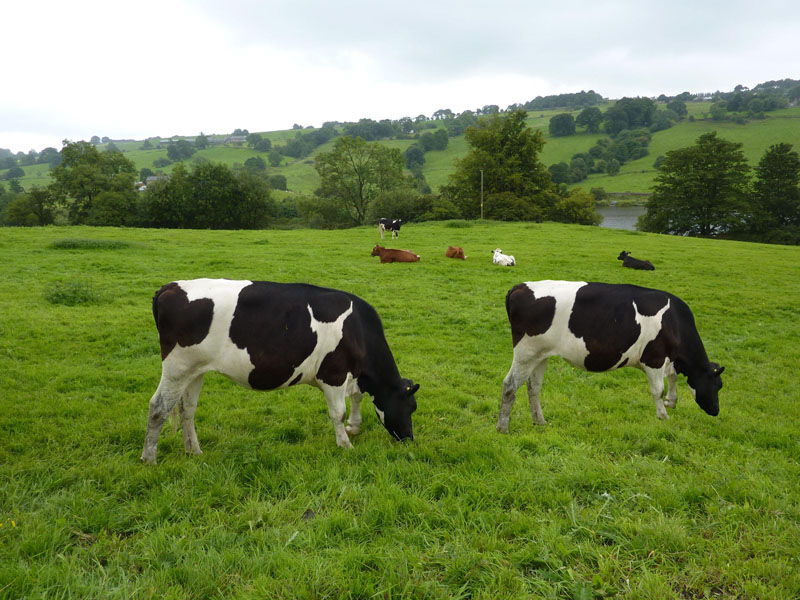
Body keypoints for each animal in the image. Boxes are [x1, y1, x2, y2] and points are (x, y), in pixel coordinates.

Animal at [141, 278, 422, 464]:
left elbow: (356, 396)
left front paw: (354, 427)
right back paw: (149, 458)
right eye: (411, 407)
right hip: (177, 366)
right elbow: (338, 412)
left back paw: (194, 451)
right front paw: (345, 444)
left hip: (195, 370)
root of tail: (170, 287)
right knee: (158, 407)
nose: (409, 438)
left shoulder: (350, 376)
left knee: (186, 410)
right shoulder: (333, 373)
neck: (359, 330)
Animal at [496, 282, 720, 432]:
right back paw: (503, 428)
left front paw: (671, 402)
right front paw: (663, 416)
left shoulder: (668, 360)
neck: (674, 322)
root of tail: (521, 286)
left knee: (533, 388)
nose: (716, 410)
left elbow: (672, 377)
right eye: (716, 385)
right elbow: (658, 390)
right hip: (526, 352)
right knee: (509, 385)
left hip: (541, 355)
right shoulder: (653, 358)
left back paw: (539, 421)